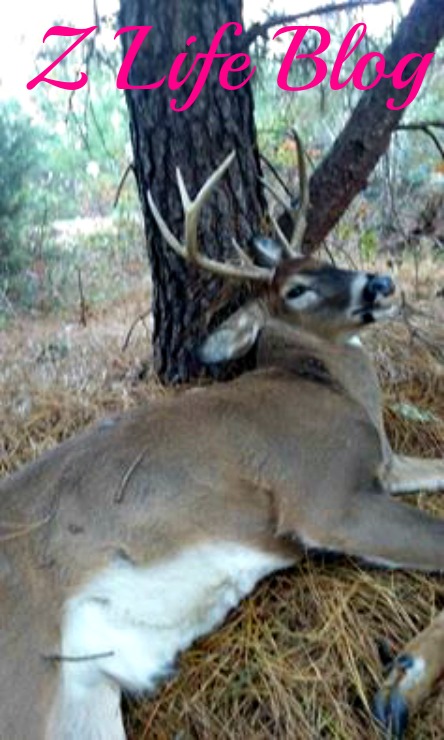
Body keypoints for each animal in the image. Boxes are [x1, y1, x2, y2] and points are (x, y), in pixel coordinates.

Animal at [1, 142, 443, 740]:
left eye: (323, 259)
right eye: (296, 289)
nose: (380, 284)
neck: (329, 388)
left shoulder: (386, 465)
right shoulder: (325, 498)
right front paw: (400, 683)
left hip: (87, 695)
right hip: (24, 678)